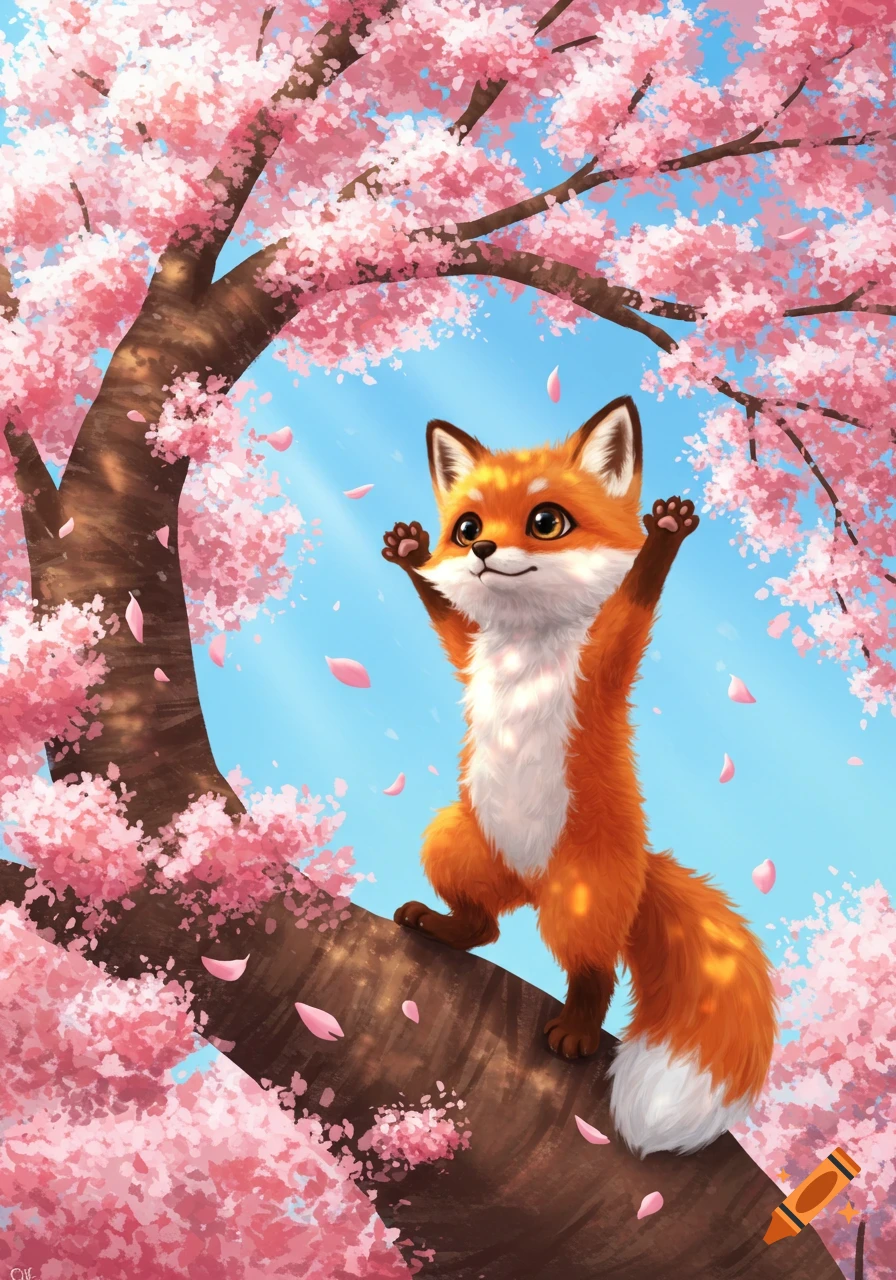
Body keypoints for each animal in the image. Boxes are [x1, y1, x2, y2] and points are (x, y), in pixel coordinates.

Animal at [382, 396, 776, 1158]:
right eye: (466, 527)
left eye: (546, 521)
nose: (481, 552)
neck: (524, 649)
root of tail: (532, 882)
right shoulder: (469, 651)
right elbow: (446, 619)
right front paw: (410, 556)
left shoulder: (607, 657)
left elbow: (636, 598)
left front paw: (665, 534)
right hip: (456, 842)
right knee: (485, 930)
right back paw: (442, 926)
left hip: (582, 900)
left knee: (595, 974)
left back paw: (576, 1031)